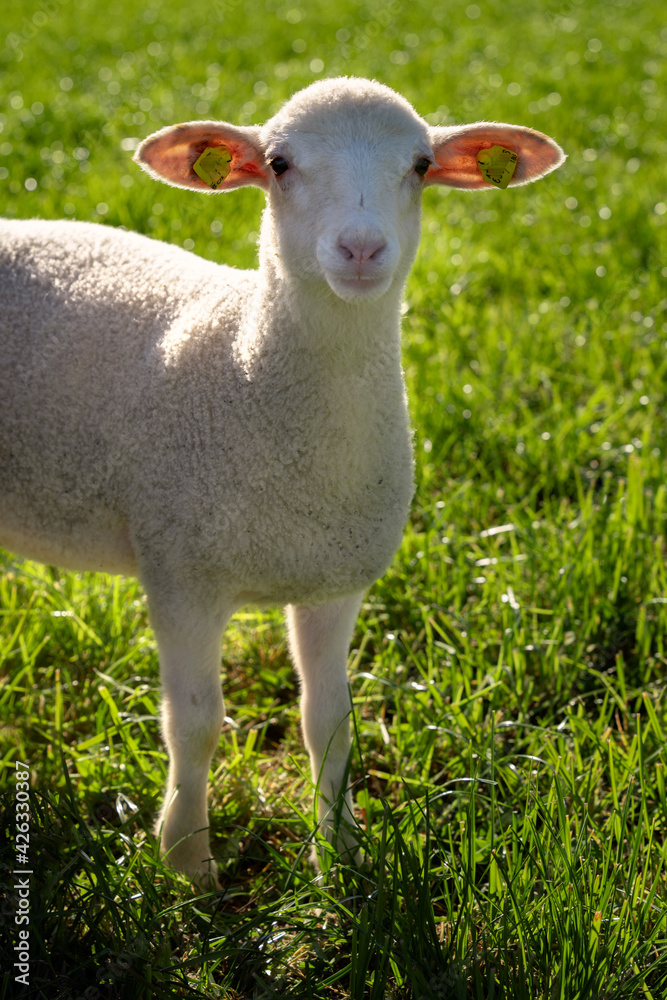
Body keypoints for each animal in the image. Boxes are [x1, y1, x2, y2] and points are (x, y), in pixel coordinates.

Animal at [0, 78, 568, 884]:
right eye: (278, 163)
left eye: (421, 165)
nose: (360, 249)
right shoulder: (180, 573)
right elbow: (195, 726)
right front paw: (187, 865)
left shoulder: (334, 580)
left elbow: (328, 723)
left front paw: (342, 861)